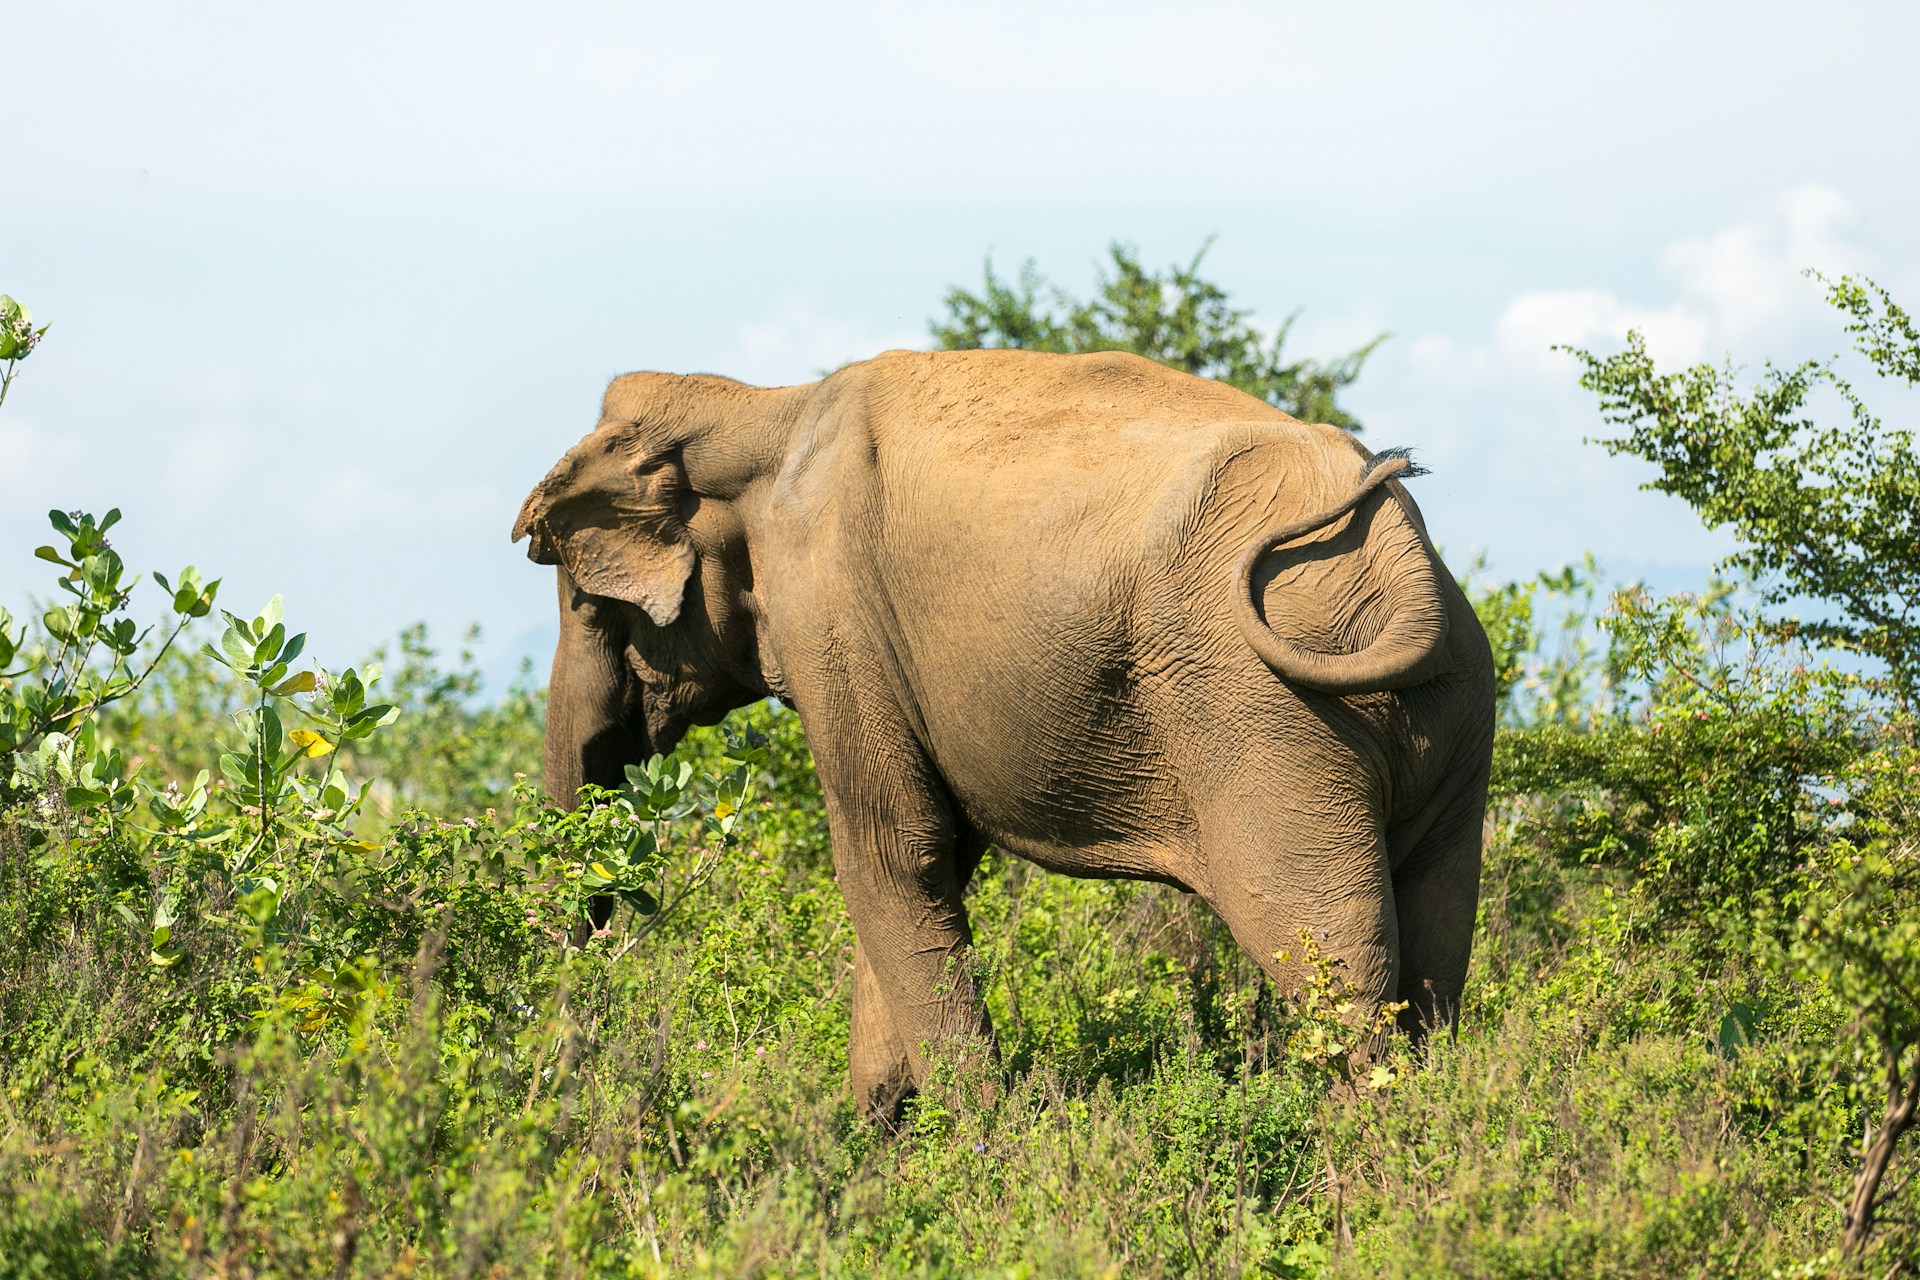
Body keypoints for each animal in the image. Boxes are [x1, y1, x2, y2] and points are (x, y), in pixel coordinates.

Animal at [514, 347, 1495, 1123]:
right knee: (1436, 942)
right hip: (1450, 704)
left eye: (583, 601)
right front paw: (881, 1144)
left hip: (1264, 711)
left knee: (1327, 949)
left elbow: (888, 852)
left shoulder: (833, 613)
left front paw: (980, 1146)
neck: (761, 405)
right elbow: (933, 862)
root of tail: (1400, 553)